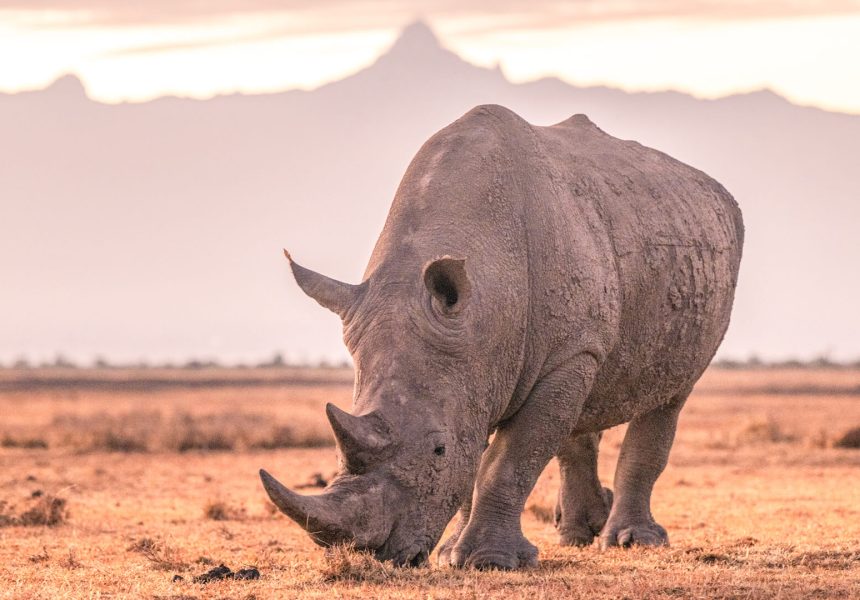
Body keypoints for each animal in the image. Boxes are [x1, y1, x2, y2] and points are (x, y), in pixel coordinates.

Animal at [260, 104, 744, 570]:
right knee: (583, 407)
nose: (375, 554)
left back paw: (630, 541)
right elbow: (479, 458)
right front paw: (449, 553)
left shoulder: (563, 354)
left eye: (438, 450)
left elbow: (508, 460)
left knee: (670, 394)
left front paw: (488, 562)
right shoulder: (479, 359)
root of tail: (715, 190)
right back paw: (577, 535)